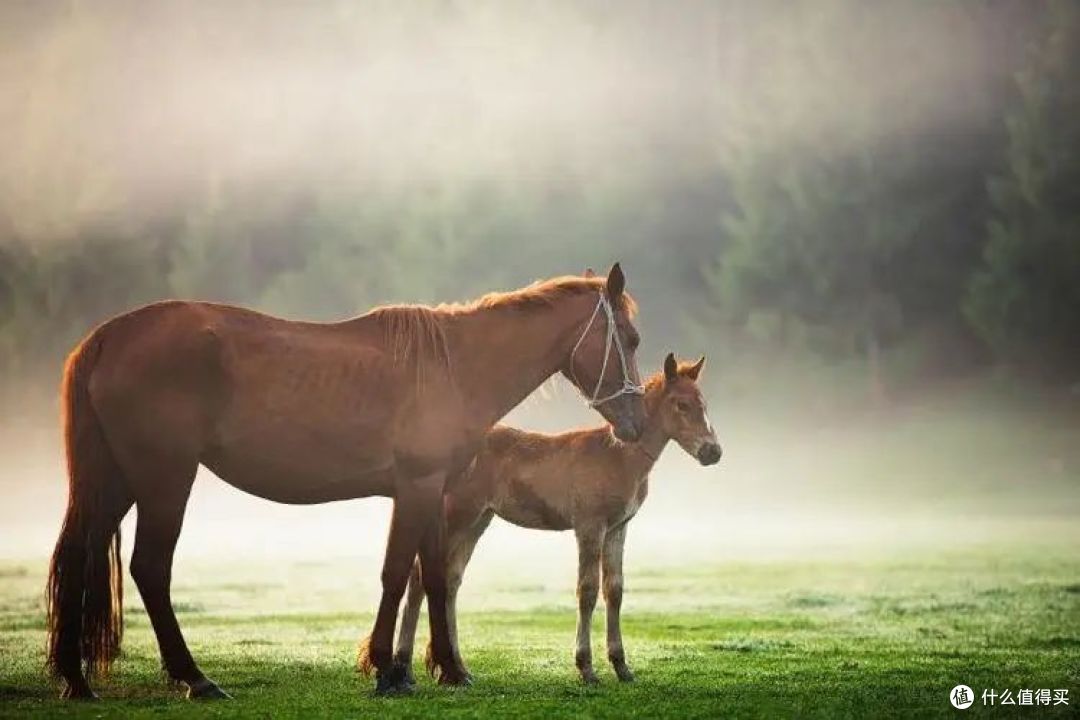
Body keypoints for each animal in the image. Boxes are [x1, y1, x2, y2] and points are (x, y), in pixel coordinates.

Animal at [45, 263, 648, 699]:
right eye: (631, 337)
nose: (635, 423)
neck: (453, 366)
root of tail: (106, 338)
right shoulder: (417, 488)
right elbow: (396, 574)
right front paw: (386, 669)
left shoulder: (433, 492)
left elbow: (431, 578)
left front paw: (446, 669)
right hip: (165, 479)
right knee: (150, 568)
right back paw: (194, 678)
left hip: (117, 482)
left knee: (82, 554)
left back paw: (75, 678)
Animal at [393, 352, 720, 685]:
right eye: (681, 405)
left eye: (703, 403)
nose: (713, 452)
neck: (618, 456)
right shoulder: (590, 526)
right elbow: (587, 590)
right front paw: (586, 667)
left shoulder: (618, 528)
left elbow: (614, 589)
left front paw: (621, 666)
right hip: (458, 516)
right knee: (420, 578)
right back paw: (404, 666)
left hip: (477, 522)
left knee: (450, 580)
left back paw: (458, 669)